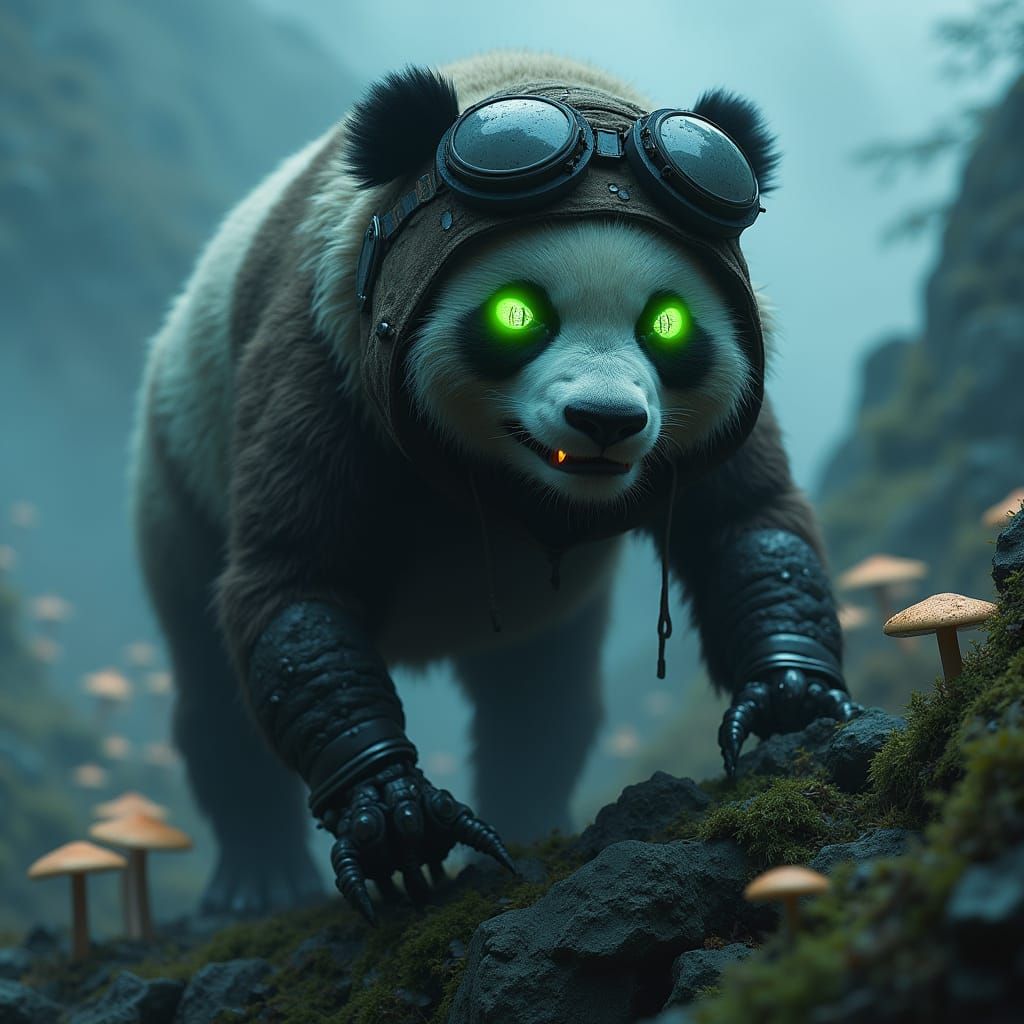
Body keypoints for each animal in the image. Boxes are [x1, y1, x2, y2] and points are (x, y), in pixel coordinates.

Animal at [130, 49, 859, 920]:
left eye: (668, 323)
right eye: (518, 314)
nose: (605, 420)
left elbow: (744, 523)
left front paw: (792, 697)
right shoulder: (325, 355)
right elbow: (295, 577)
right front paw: (395, 816)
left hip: (544, 613)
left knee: (541, 701)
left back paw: (530, 814)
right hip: (177, 481)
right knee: (212, 692)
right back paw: (259, 880)